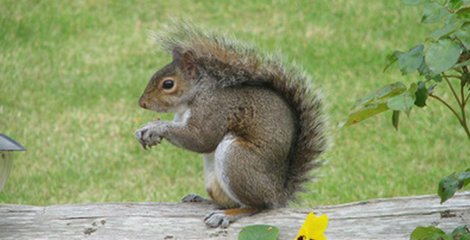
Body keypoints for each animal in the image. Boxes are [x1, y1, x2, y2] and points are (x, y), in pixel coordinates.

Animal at [134, 23, 328, 229]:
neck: (196, 96)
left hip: (237, 158)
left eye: (168, 84)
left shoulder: (214, 110)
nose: (142, 103)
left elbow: (201, 140)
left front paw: (156, 127)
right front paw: (145, 131)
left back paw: (228, 214)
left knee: (256, 205)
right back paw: (202, 199)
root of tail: (277, 194)